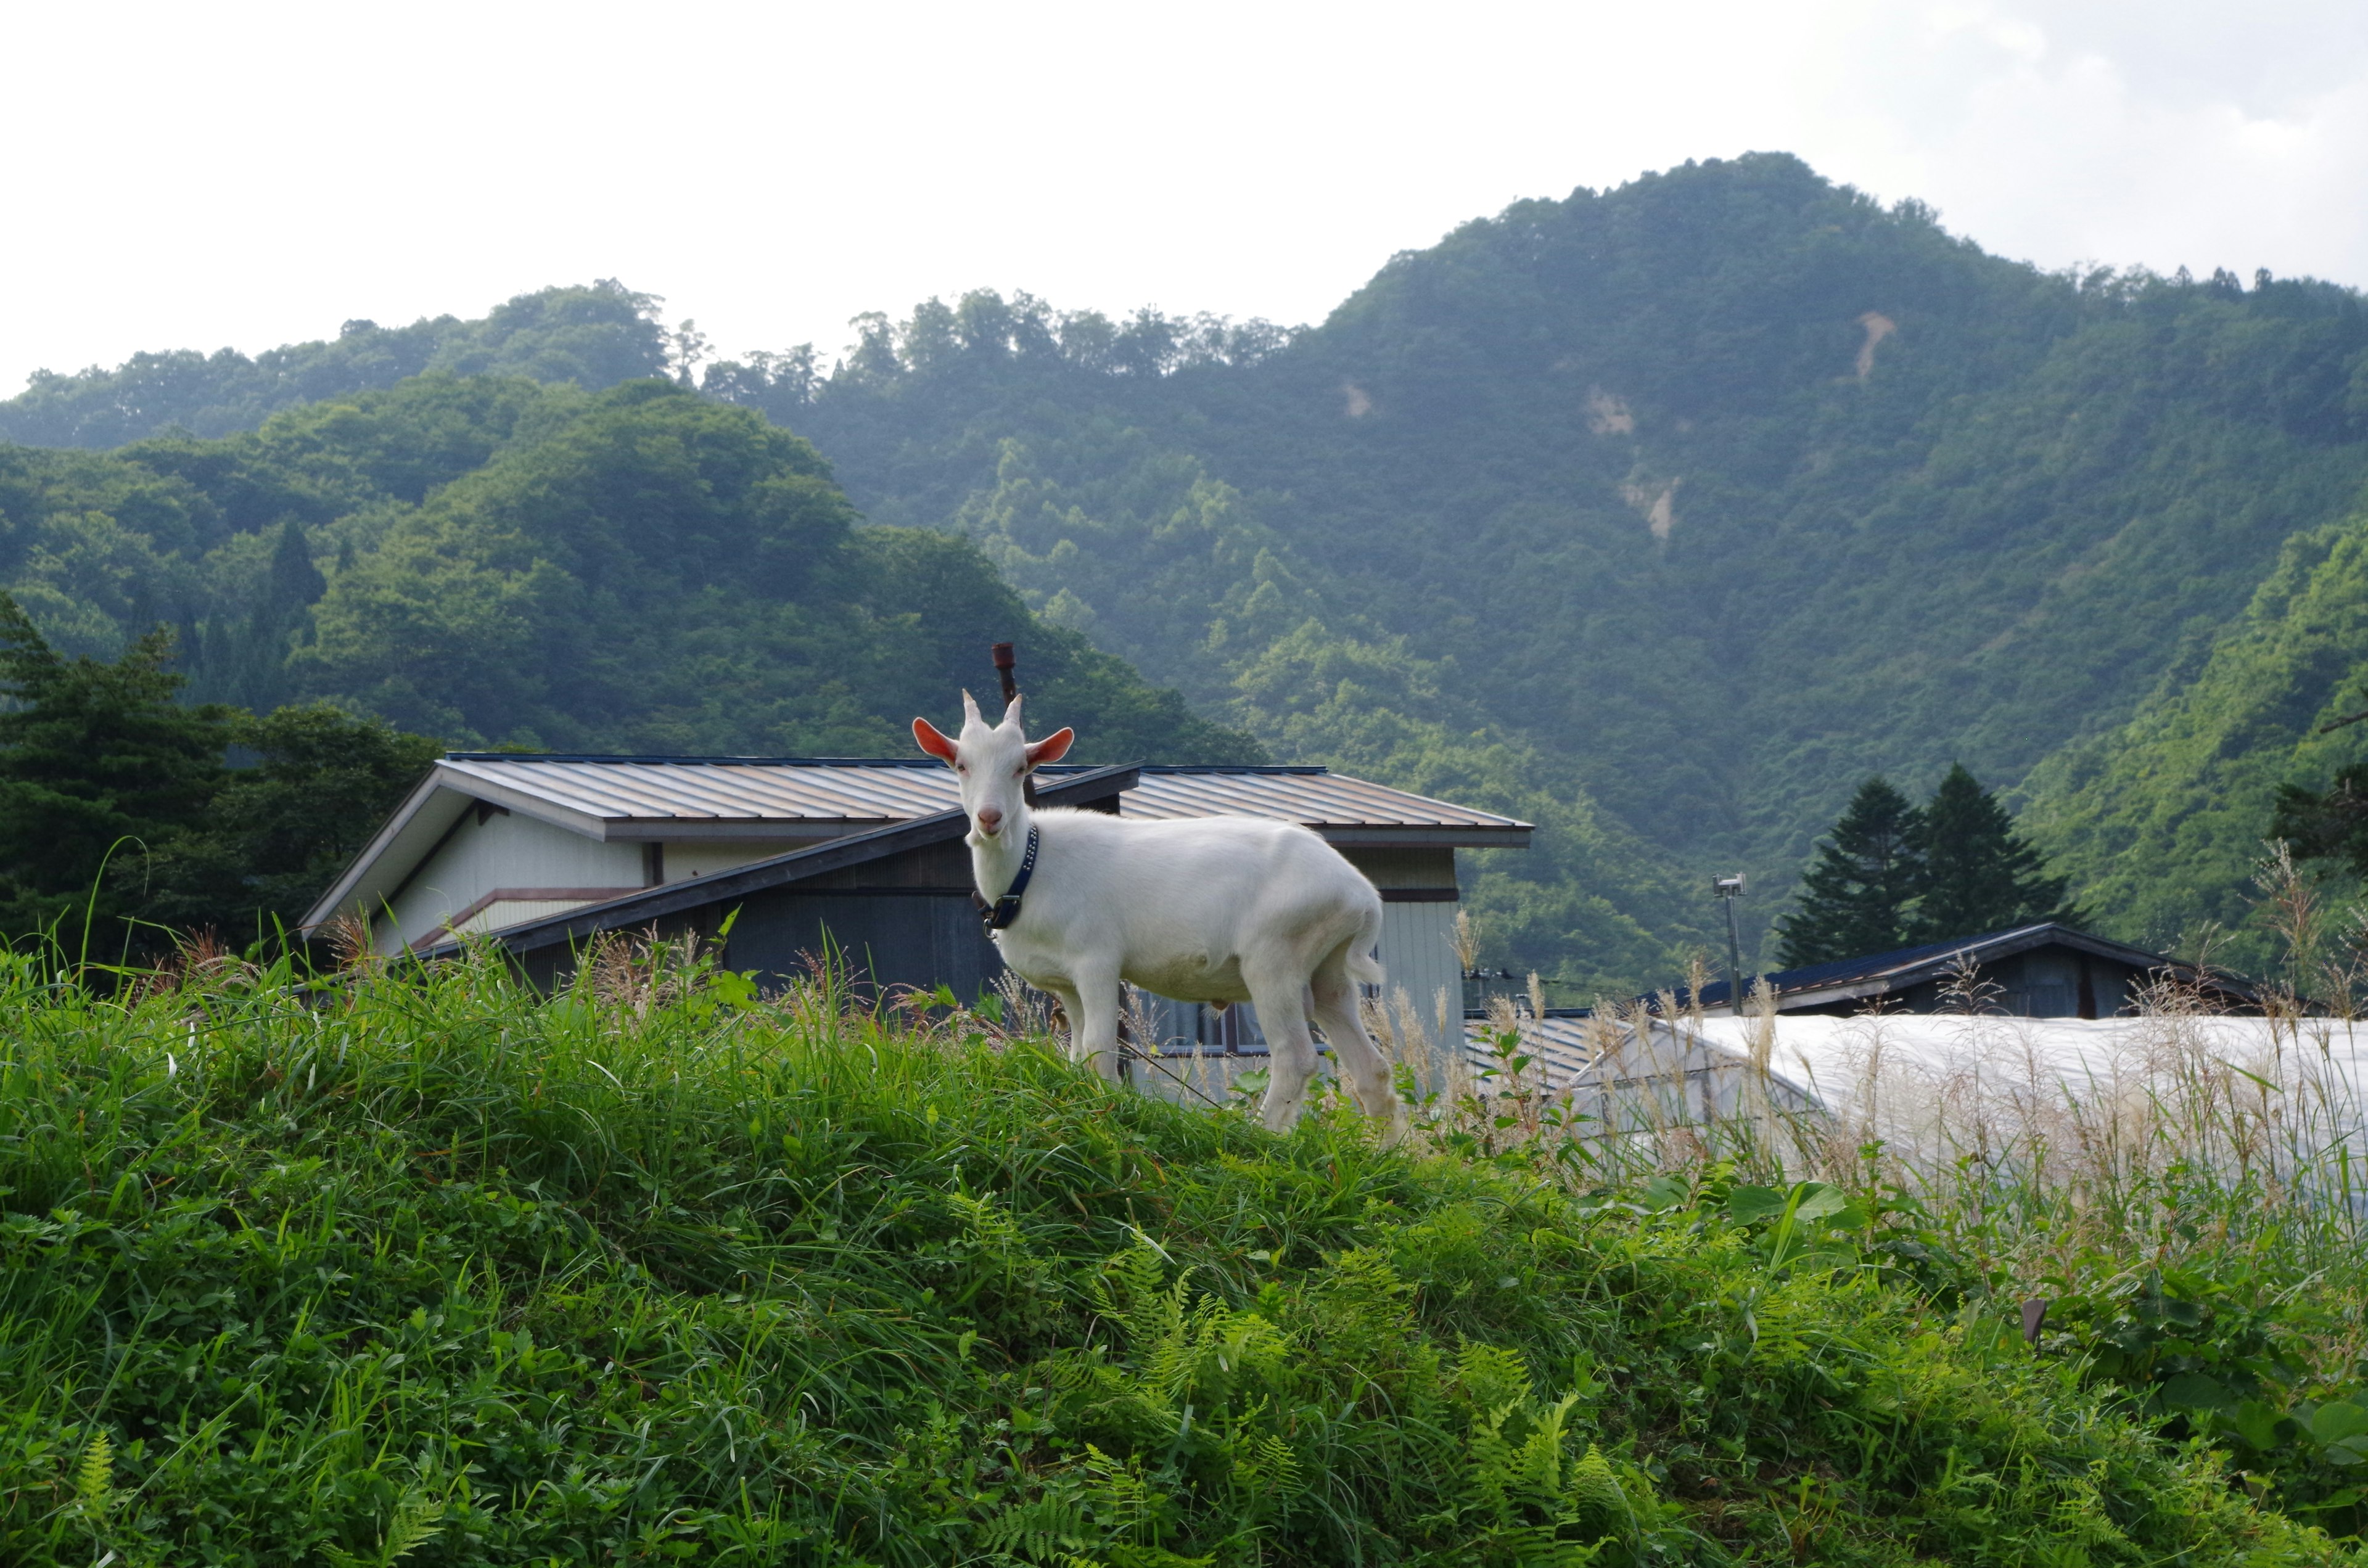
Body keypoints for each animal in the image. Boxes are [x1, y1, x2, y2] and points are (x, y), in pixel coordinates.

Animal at [914, 691, 1402, 1141]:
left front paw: (1108, 1113)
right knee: (1372, 1068)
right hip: (1327, 967)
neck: (1031, 869)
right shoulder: (1065, 982)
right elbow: (1077, 1053)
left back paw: (1263, 1134)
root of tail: (1363, 895)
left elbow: (1100, 1047)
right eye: (960, 765)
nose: (989, 818)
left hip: (1277, 953)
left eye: (1021, 768)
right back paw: (1388, 1152)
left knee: (1296, 1056)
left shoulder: (1097, 959)